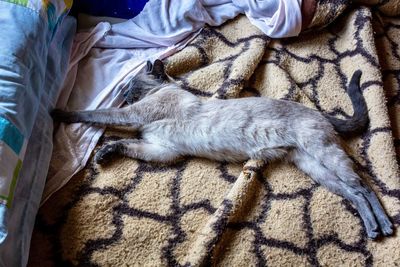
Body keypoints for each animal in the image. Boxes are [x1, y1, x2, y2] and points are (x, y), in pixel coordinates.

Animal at [53, 59, 394, 240]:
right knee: (353, 193)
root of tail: (319, 112)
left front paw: (58, 113)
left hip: (326, 157)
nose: (123, 93)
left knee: (364, 186)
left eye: (129, 87)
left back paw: (385, 226)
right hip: (314, 167)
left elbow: (97, 114)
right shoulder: (160, 149)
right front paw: (104, 153)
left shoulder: (136, 120)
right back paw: (372, 228)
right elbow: (123, 142)